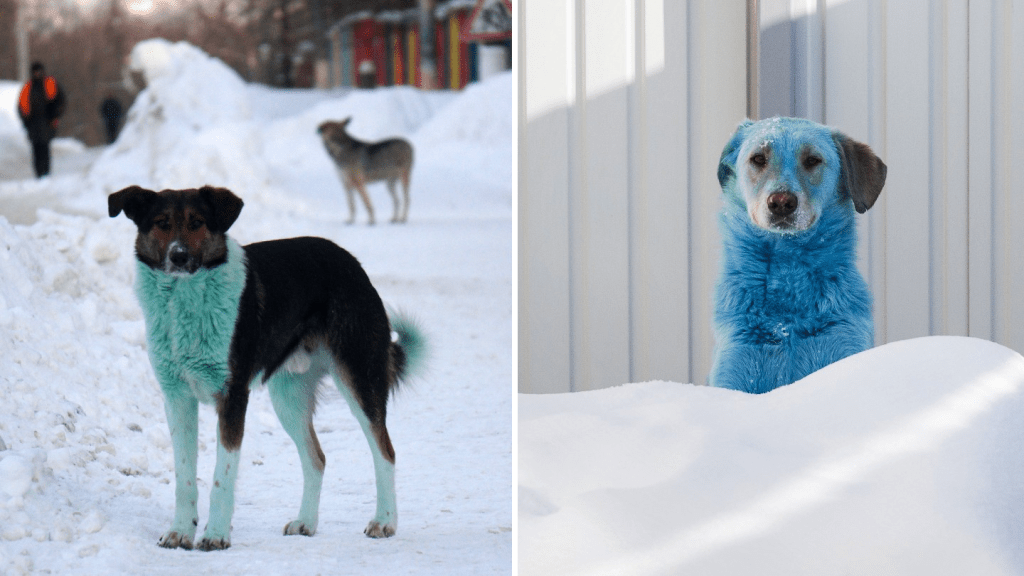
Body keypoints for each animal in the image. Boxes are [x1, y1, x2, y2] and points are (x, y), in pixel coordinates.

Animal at [105, 183, 421, 545]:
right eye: (161, 223)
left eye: (197, 222)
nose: (178, 256)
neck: (184, 302)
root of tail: (351, 263)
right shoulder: (177, 398)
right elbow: (184, 477)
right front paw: (181, 532)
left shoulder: (232, 396)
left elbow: (222, 477)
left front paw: (215, 536)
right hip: (289, 398)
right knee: (316, 458)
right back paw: (305, 522)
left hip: (360, 380)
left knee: (385, 452)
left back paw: (384, 521)